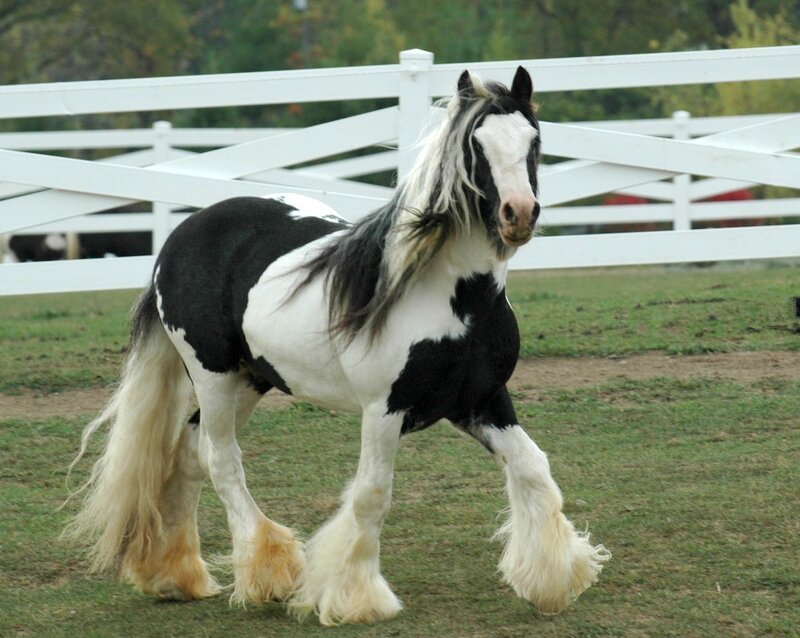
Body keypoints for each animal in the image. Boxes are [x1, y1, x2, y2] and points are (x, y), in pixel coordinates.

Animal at [64, 66, 609, 626]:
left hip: (251, 379)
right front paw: (356, 599)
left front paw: (553, 580)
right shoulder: (384, 410)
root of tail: (179, 237)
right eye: (475, 146)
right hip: (213, 375)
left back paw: (172, 575)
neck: (454, 298)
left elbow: (533, 469)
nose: (518, 213)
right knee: (220, 460)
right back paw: (269, 572)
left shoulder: (482, 401)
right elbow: (371, 496)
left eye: (534, 141)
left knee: (191, 451)